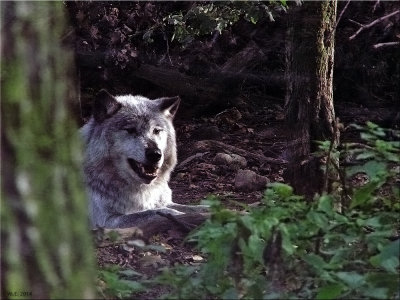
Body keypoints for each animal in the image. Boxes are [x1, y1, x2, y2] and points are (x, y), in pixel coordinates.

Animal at [80, 89, 206, 227]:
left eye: (156, 130)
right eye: (131, 130)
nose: (155, 154)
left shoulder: (165, 202)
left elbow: (194, 208)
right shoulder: (107, 221)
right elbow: (159, 212)